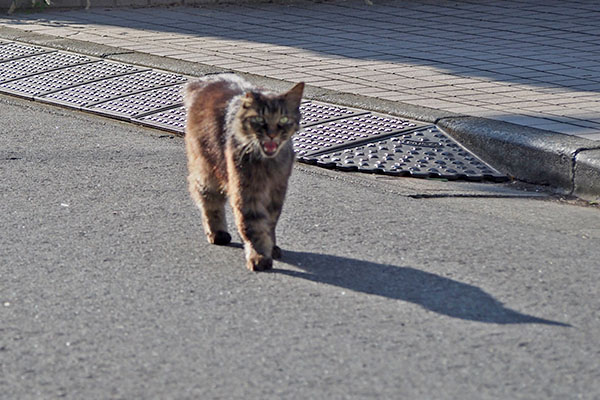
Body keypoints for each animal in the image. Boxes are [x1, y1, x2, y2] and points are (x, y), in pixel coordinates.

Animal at [183, 73, 304, 270]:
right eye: (259, 120)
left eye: (284, 120)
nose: (271, 134)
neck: (267, 164)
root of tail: (206, 81)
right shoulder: (247, 191)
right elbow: (252, 226)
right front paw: (259, 256)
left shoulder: (277, 192)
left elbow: (270, 223)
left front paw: (271, 246)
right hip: (207, 172)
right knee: (209, 202)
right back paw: (218, 233)